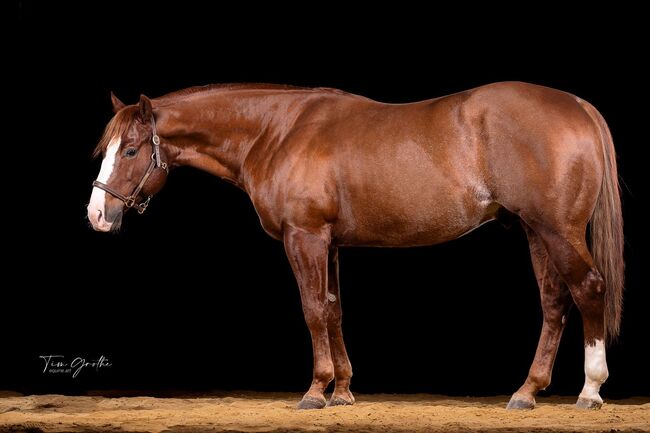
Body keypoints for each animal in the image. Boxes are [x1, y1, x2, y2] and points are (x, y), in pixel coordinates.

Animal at [88, 82, 620, 410]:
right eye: (107, 149)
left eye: (130, 150)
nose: (97, 215)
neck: (277, 132)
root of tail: (577, 105)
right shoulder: (330, 243)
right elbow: (333, 309)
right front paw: (341, 391)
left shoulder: (304, 237)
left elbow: (312, 311)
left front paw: (314, 391)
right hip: (535, 230)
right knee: (554, 303)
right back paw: (527, 391)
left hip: (557, 229)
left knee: (589, 289)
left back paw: (590, 390)